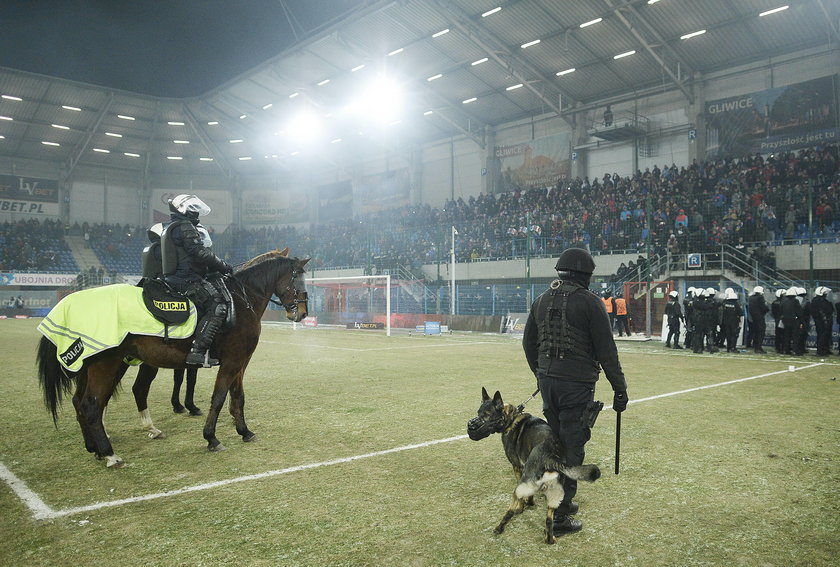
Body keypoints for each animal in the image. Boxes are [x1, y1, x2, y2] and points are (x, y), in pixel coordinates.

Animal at [37, 251, 308, 468]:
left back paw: (94, 448)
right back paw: (110, 454)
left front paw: (244, 431)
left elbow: (237, 397)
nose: (303, 313)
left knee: (80, 402)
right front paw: (211, 437)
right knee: (92, 405)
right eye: (298, 278)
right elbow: (219, 398)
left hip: (92, 365)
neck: (241, 300)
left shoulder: (240, 362)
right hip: (106, 364)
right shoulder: (233, 362)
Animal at [466, 388, 604, 544]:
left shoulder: (518, 468)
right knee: (549, 521)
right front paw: (530, 503)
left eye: (486, 415)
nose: (470, 425)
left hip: (519, 489)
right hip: (554, 499)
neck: (511, 418)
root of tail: (550, 458)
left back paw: (499, 528)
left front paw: (522, 508)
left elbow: (520, 502)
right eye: (478, 412)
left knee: (510, 511)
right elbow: (531, 495)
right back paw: (550, 539)